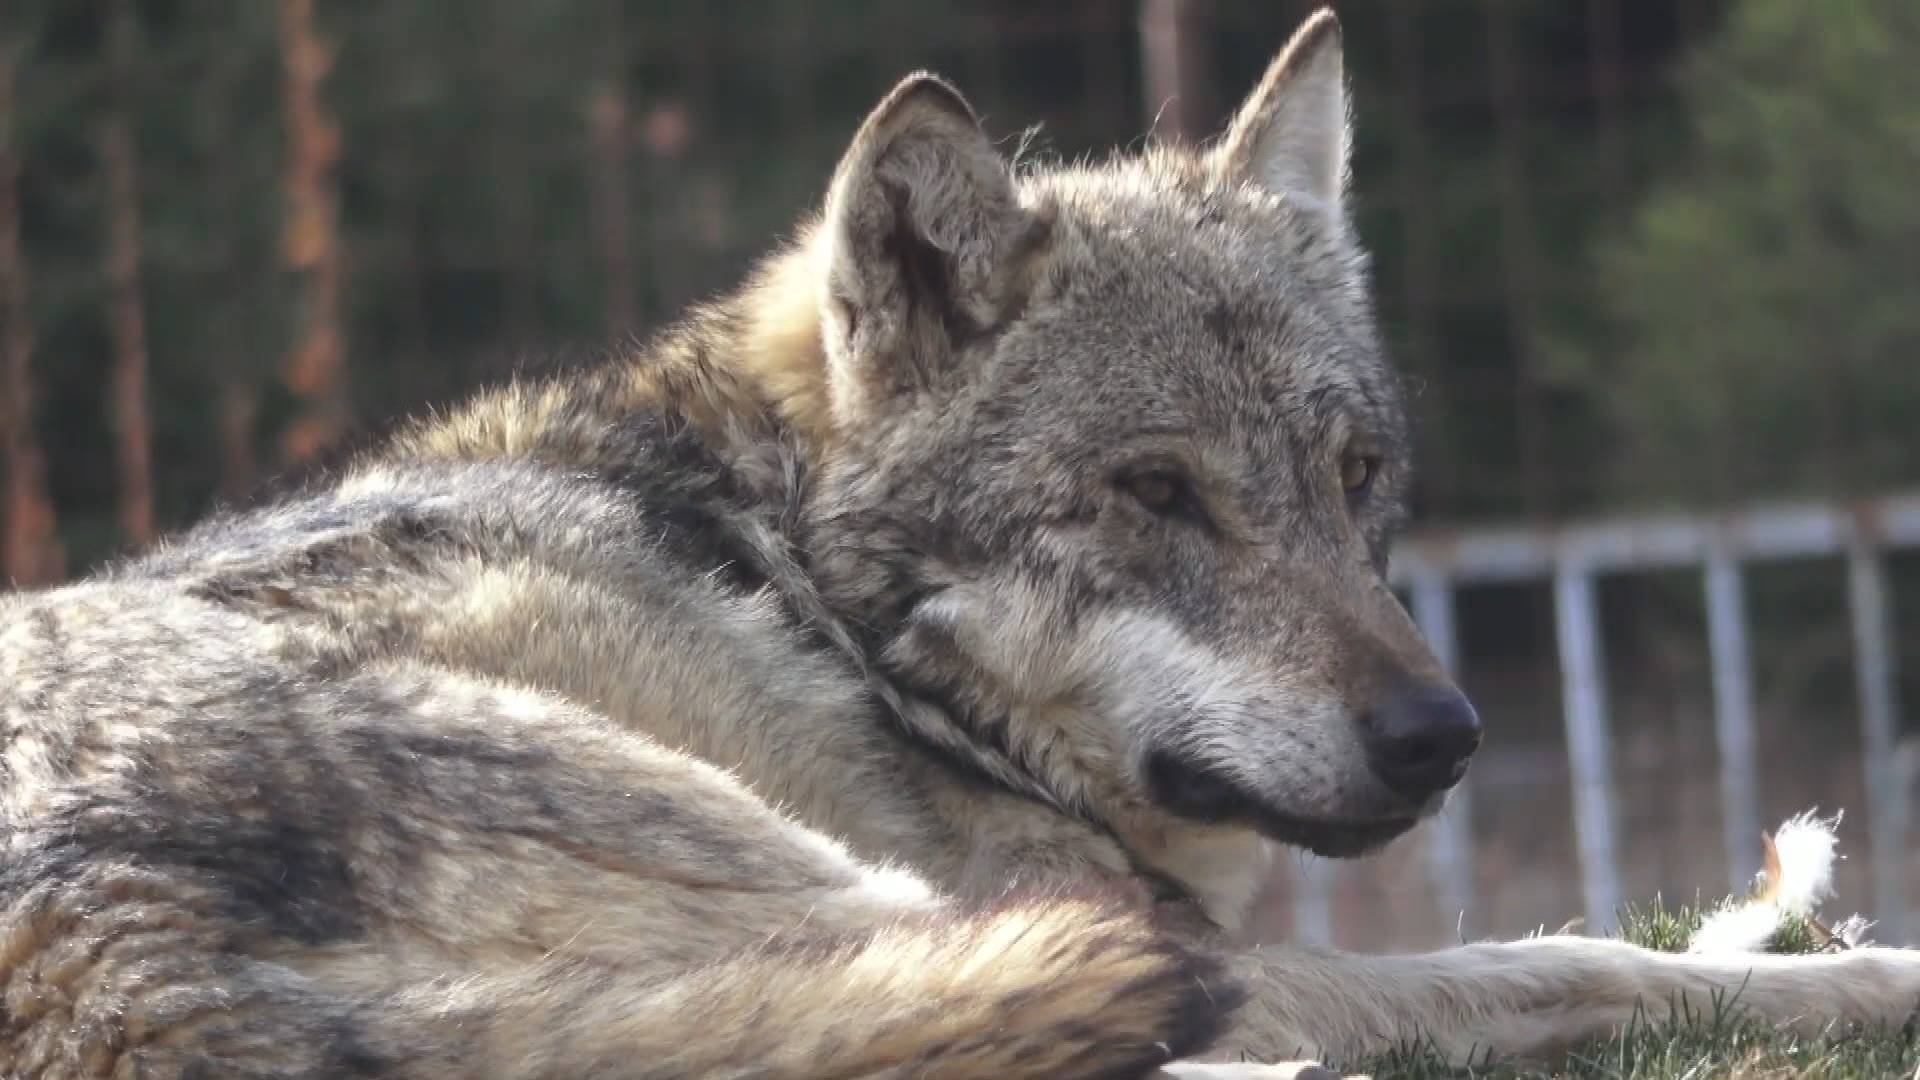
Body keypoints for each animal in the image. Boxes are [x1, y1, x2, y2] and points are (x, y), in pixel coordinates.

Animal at [3, 10, 1920, 1076]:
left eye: (1354, 472)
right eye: (1155, 492)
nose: (1442, 738)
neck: (822, 605)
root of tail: (94, 967)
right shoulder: (1213, 945)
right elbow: (1562, 956)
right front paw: (1856, 974)